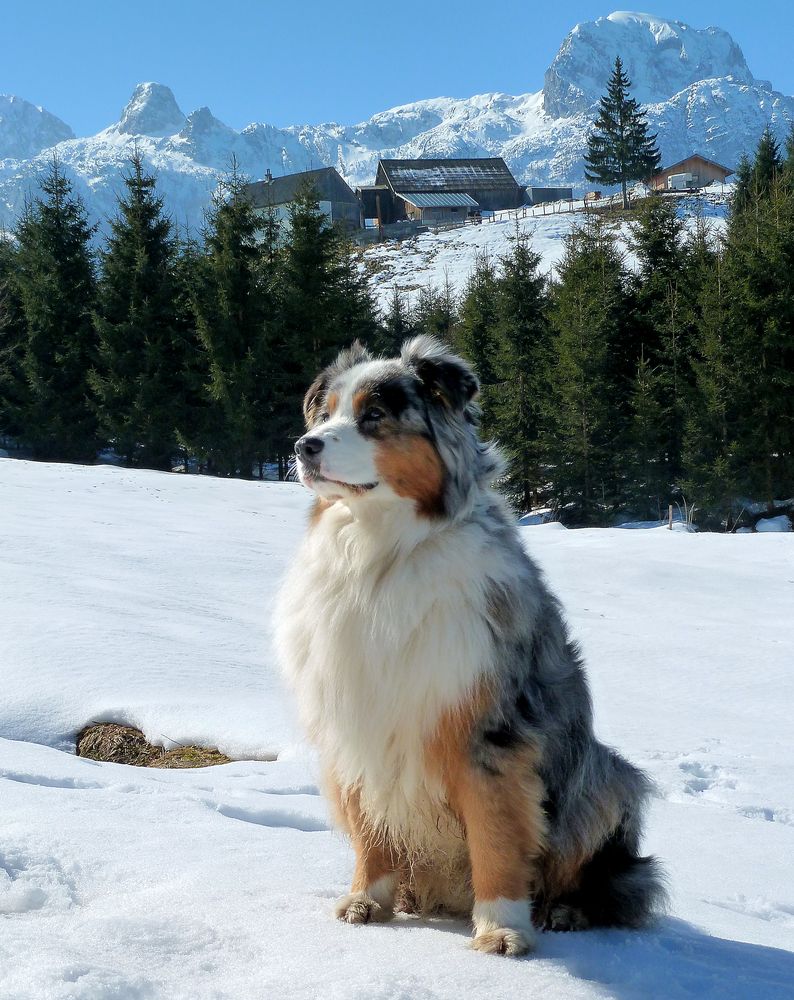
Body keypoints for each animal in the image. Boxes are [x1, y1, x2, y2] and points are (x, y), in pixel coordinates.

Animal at [276, 338, 664, 960]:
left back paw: (565, 912)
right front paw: (367, 901)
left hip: (605, 780)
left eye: (374, 416)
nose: (303, 446)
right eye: (324, 413)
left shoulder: (490, 733)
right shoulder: (359, 722)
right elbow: (372, 826)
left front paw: (501, 930)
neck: (380, 555)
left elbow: (497, 836)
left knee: (613, 881)